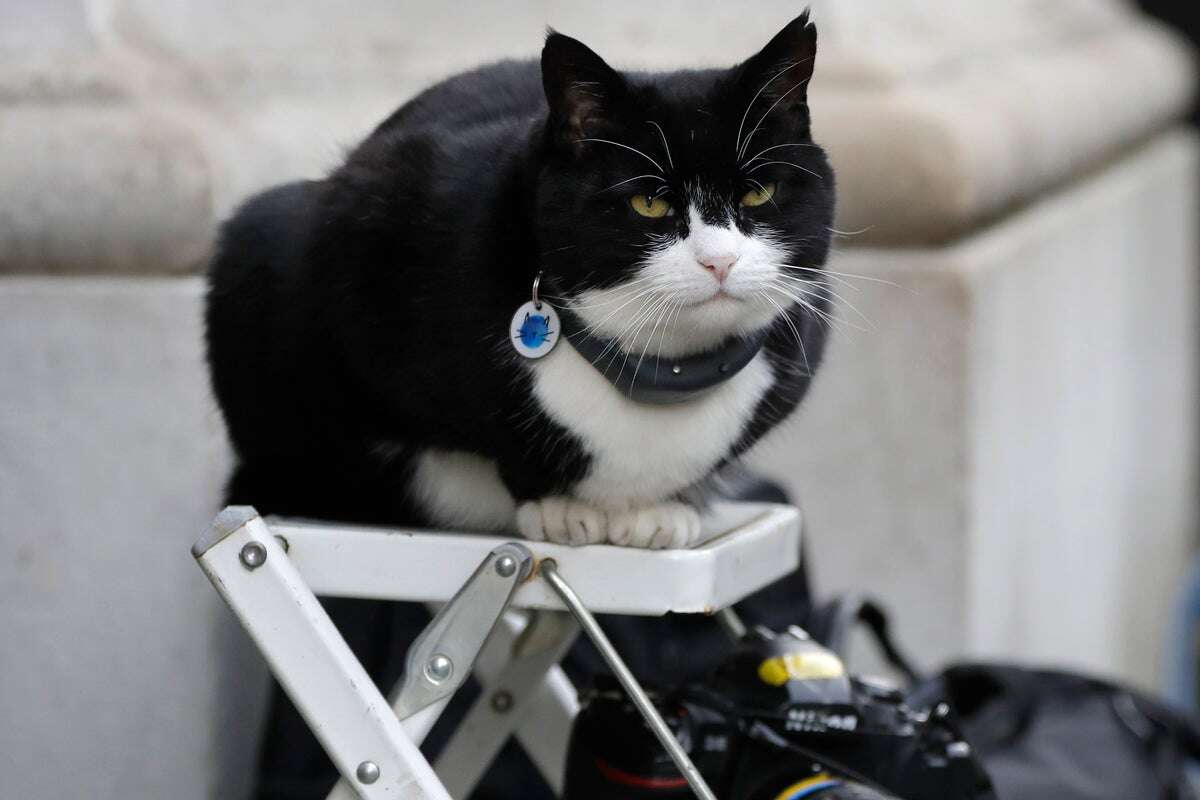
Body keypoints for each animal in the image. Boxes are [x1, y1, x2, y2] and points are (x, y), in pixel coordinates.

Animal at [206, 12, 835, 551]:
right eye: (648, 203)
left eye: (758, 192)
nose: (719, 262)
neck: (659, 366)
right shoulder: (363, 241)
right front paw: (558, 506)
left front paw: (664, 509)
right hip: (259, 235)